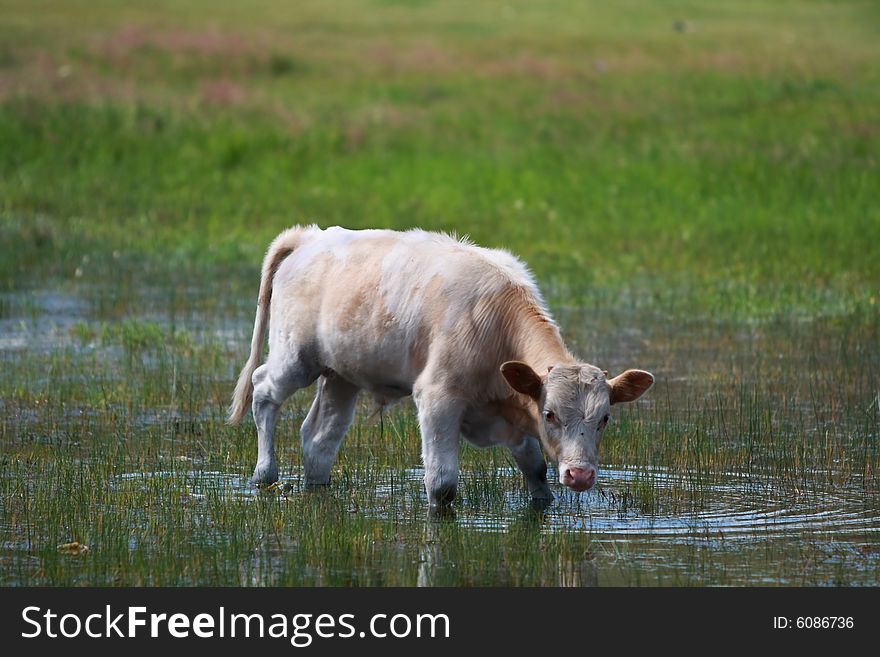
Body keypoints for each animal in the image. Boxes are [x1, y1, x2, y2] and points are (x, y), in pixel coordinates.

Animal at [227, 223, 652, 504]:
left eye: (605, 418)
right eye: (550, 414)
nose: (580, 475)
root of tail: (310, 236)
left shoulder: (513, 411)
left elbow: (536, 472)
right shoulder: (438, 399)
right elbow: (442, 483)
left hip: (341, 375)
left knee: (320, 438)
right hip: (295, 356)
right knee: (264, 391)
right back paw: (265, 473)